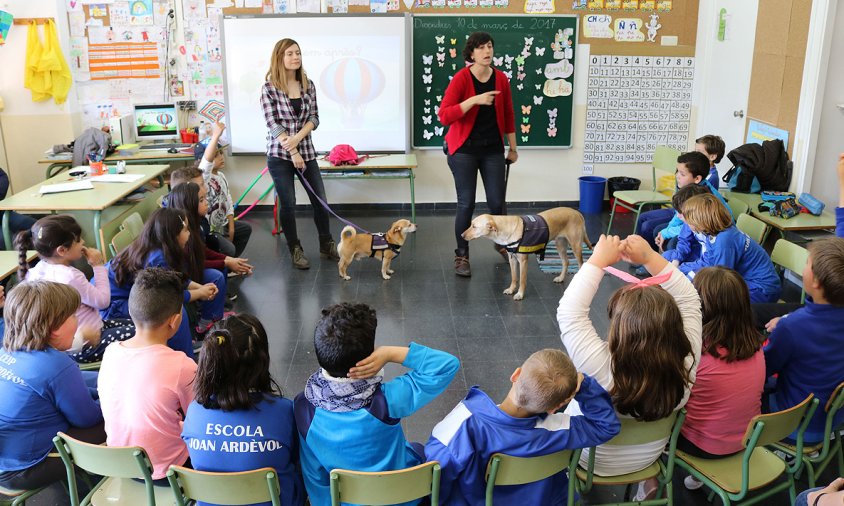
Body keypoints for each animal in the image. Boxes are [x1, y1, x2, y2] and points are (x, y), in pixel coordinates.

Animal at [462, 207, 592, 300]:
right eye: (471, 224)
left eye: (474, 226)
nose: (461, 235)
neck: (506, 229)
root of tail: (576, 212)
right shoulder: (512, 259)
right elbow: (514, 277)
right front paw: (511, 289)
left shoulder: (523, 261)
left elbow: (522, 280)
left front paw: (520, 294)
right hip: (560, 245)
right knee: (566, 262)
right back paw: (560, 278)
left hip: (575, 246)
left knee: (581, 264)